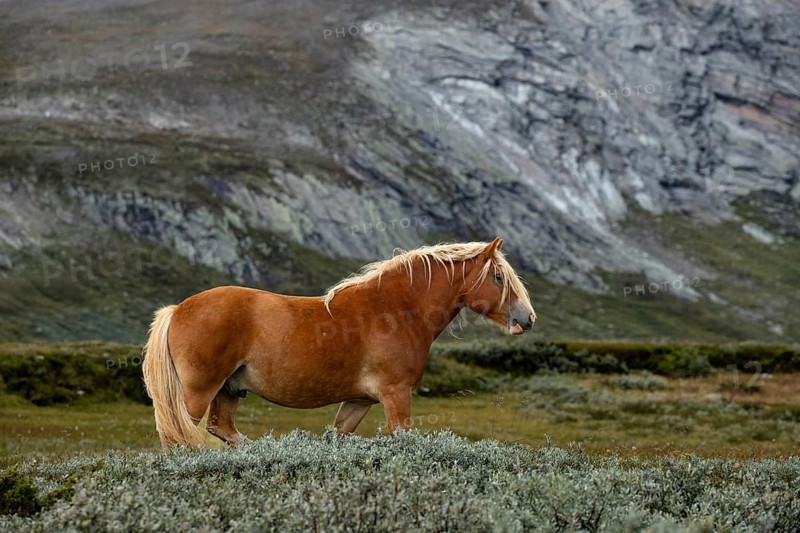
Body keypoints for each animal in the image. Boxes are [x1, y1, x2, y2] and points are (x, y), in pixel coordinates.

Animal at [142, 237, 536, 447]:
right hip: (197, 393)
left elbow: (338, 437)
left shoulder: (358, 402)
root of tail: (177, 309)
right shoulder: (396, 396)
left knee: (220, 429)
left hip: (229, 390)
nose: (527, 319)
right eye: (499, 277)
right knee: (178, 439)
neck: (396, 310)